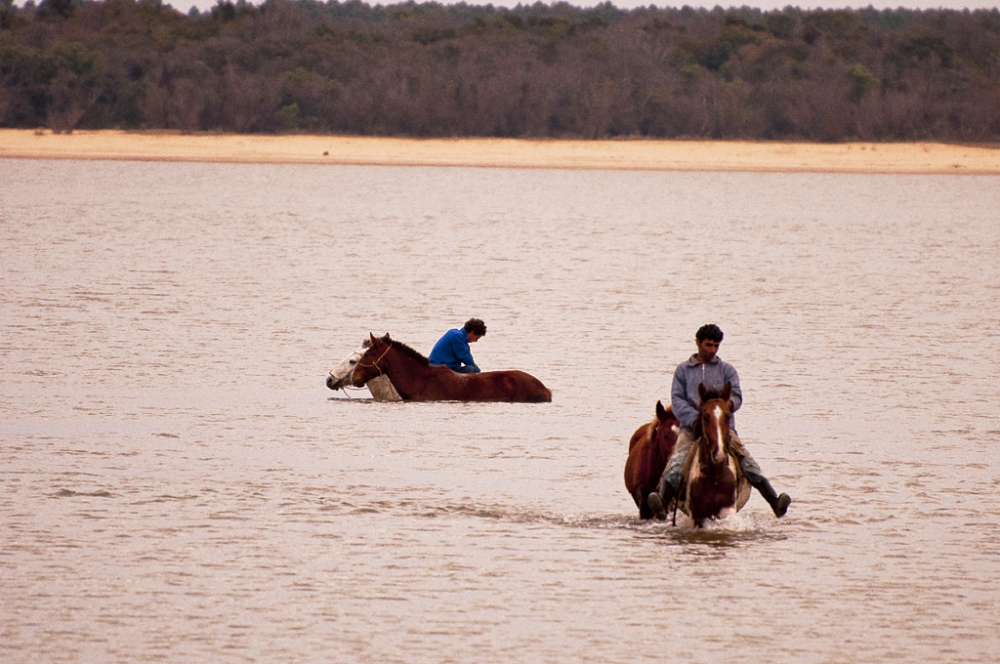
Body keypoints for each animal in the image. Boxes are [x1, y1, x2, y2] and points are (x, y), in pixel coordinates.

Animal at [680, 384, 752, 528]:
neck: (714, 476)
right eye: (705, 416)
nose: (719, 455)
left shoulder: (727, 509)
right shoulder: (697, 515)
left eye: (728, 416)